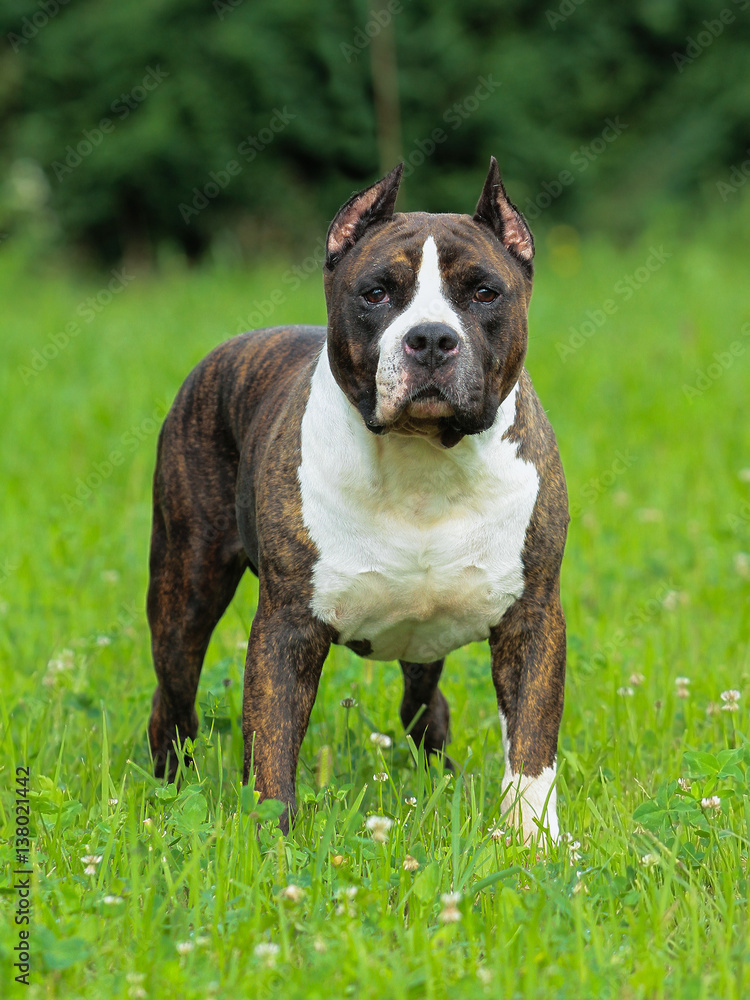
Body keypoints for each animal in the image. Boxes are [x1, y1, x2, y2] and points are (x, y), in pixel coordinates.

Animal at [147, 156, 568, 844]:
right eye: (376, 293)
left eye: (485, 293)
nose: (431, 338)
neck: (425, 461)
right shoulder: (288, 626)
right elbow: (271, 743)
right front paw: (272, 843)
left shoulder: (531, 619)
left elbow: (531, 744)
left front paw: (533, 841)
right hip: (185, 588)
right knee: (173, 697)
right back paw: (167, 788)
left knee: (424, 705)